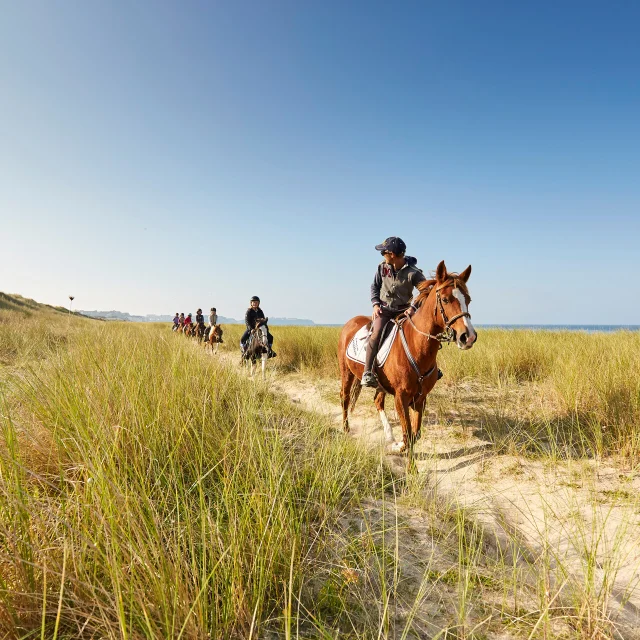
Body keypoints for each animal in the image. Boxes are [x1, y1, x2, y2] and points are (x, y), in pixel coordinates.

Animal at [338, 260, 478, 460]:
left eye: (468, 299)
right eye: (445, 299)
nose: (468, 337)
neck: (416, 347)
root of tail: (351, 322)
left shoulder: (421, 398)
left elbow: (414, 434)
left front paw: (396, 445)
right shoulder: (401, 397)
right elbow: (408, 434)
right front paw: (401, 452)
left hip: (380, 384)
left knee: (377, 401)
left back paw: (389, 436)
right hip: (346, 372)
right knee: (345, 398)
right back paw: (346, 429)